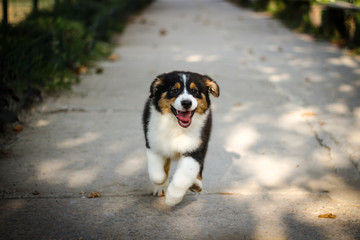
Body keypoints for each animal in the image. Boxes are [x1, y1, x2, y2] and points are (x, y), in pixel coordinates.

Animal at [142, 70, 218, 205]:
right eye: (174, 90)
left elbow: (183, 176)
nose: (187, 103)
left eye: (195, 91)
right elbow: (157, 175)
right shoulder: (153, 144)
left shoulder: (194, 149)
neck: (176, 126)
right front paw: (161, 185)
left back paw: (196, 184)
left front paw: (172, 198)